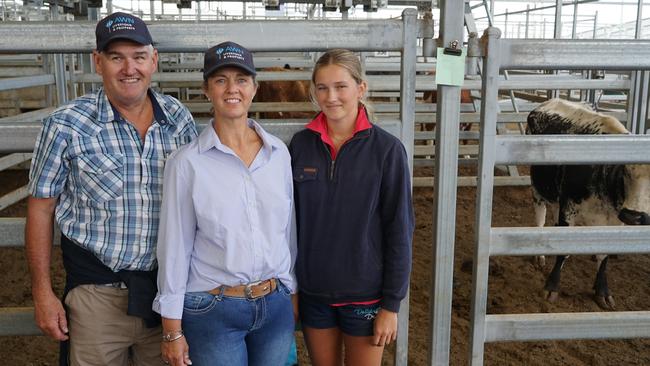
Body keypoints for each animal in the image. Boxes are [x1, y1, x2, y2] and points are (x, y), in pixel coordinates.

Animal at [528, 98, 648, 310]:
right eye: (625, 171)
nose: (633, 216)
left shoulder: (613, 222)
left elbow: (604, 256)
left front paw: (602, 291)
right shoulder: (569, 208)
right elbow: (563, 252)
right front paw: (551, 287)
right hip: (539, 189)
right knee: (540, 218)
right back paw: (539, 256)